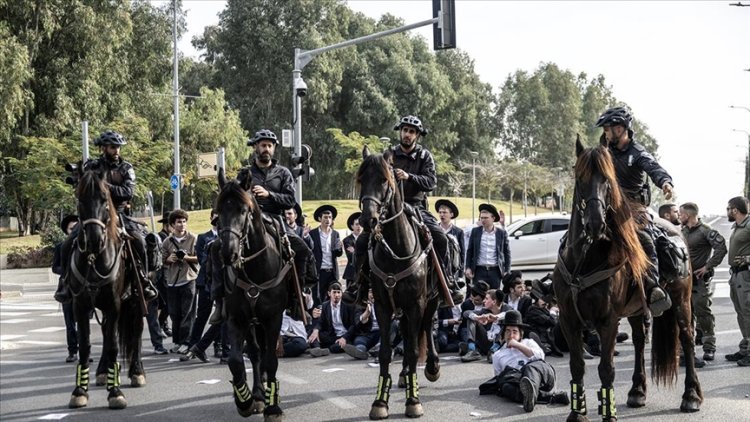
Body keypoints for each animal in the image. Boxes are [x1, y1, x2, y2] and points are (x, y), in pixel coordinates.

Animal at [66, 168, 147, 408]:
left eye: (104, 199)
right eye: (80, 199)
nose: (94, 239)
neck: (95, 258)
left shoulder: (114, 304)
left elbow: (113, 346)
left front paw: (116, 392)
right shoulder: (80, 305)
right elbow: (85, 346)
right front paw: (79, 391)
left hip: (138, 300)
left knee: (137, 330)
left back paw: (137, 371)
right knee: (104, 333)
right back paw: (102, 372)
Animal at [216, 170, 292, 420]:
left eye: (243, 210)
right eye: (218, 211)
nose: (228, 253)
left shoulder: (273, 318)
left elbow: (272, 360)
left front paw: (273, 406)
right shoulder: (237, 318)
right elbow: (236, 361)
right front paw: (245, 400)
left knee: (265, 355)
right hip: (252, 322)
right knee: (256, 353)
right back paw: (258, 394)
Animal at [356, 145, 444, 418]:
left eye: (384, 180)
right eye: (362, 180)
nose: (368, 220)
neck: (395, 247)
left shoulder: (416, 303)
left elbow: (415, 349)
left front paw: (413, 401)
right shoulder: (383, 306)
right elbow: (386, 352)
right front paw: (379, 402)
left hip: (431, 300)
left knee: (426, 327)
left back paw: (432, 367)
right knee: (407, 333)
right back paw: (405, 375)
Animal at [552, 140, 704, 420]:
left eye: (607, 180)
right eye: (580, 178)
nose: (595, 223)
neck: (585, 259)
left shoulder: (608, 320)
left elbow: (606, 368)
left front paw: (608, 412)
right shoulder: (568, 319)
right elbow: (577, 365)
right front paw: (577, 412)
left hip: (682, 301)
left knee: (687, 338)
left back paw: (691, 396)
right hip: (635, 310)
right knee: (639, 341)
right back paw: (637, 391)